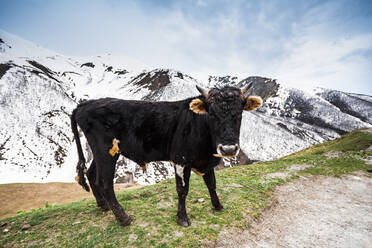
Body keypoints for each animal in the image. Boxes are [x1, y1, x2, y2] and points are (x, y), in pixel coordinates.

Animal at [70, 84, 262, 227]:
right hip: (106, 151)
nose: (228, 149)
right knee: (105, 183)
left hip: (101, 153)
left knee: (91, 174)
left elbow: (211, 184)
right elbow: (182, 189)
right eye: (212, 114)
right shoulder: (181, 159)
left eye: (239, 113)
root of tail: (84, 105)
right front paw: (182, 218)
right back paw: (123, 218)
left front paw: (218, 206)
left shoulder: (206, 161)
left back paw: (103, 206)